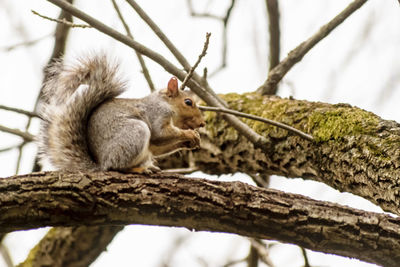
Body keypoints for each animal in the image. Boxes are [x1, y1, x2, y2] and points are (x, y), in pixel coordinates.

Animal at [36, 54, 206, 174]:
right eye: (188, 102)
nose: (202, 123)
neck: (165, 103)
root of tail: (102, 164)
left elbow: (157, 147)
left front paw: (192, 141)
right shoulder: (156, 113)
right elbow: (159, 134)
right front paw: (189, 134)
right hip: (134, 133)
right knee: (117, 167)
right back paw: (139, 169)